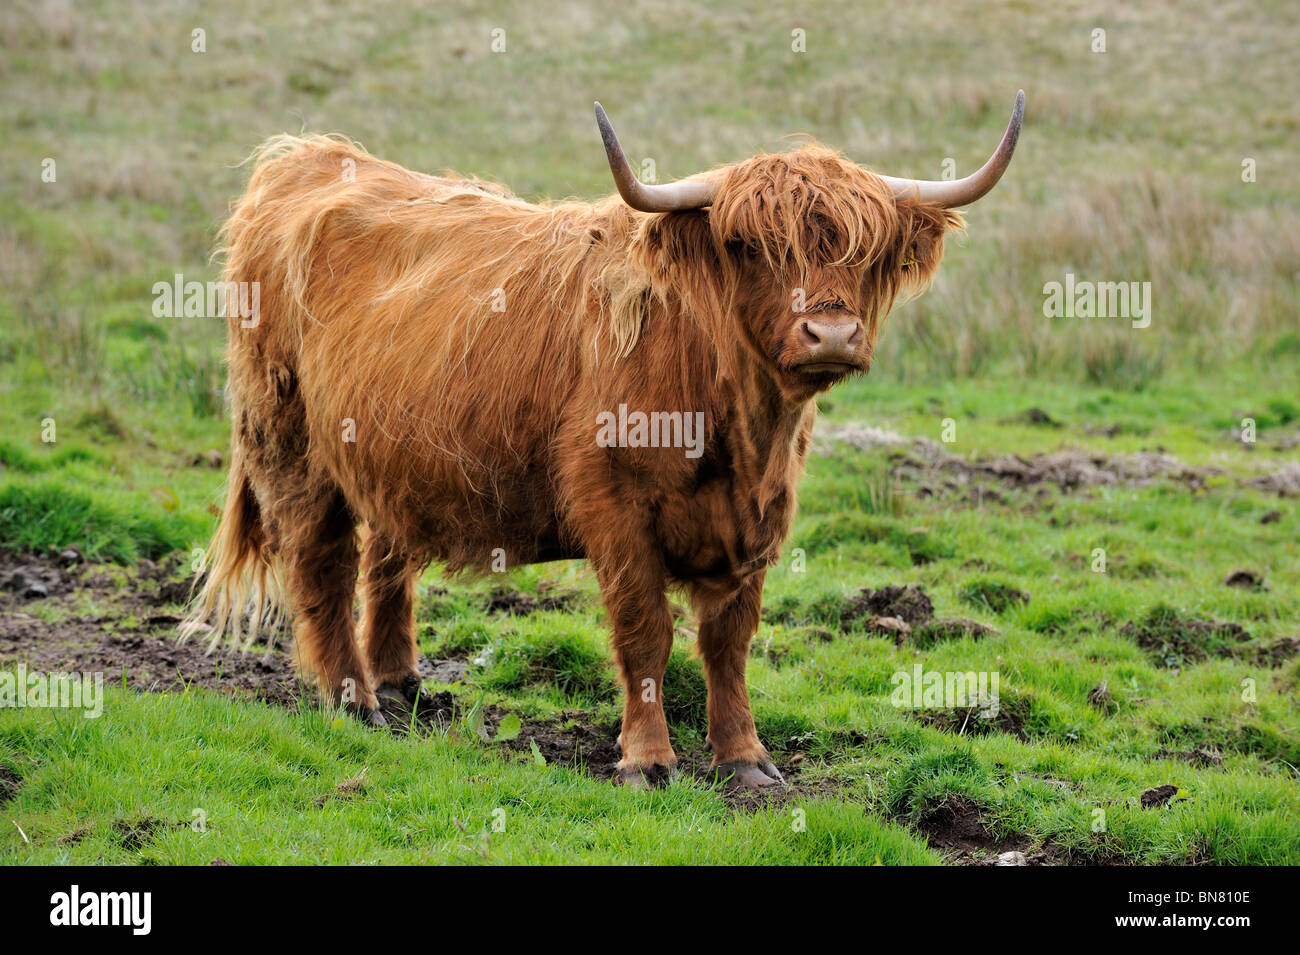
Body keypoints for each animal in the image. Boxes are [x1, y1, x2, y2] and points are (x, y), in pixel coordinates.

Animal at [185, 93, 1024, 789]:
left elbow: (729, 641)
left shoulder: (759, 517)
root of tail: (308, 155)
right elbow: (645, 632)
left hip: (394, 453)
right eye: (749, 245)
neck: (738, 426)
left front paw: (745, 758)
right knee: (320, 564)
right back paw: (353, 699)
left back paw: (403, 684)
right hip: (291, 445)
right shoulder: (618, 511)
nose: (833, 333)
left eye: (865, 247)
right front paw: (648, 759)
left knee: (387, 558)